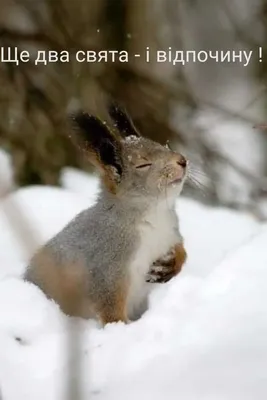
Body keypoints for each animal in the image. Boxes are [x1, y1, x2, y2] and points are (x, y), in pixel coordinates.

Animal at [24, 103, 188, 324]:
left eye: (163, 146)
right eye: (142, 164)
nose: (182, 160)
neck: (154, 214)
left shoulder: (171, 232)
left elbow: (181, 250)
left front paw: (171, 264)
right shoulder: (107, 264)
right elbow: (109, 305)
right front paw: (121, 328)